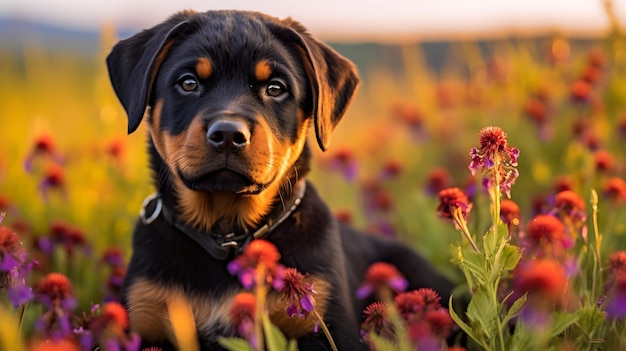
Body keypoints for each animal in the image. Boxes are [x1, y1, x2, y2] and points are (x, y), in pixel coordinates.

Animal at [107, 9, 456, 350]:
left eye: (275, 88)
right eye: (189, 83)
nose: (228, 134)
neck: (226, 234)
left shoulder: (323, 320)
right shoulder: (147, 313)